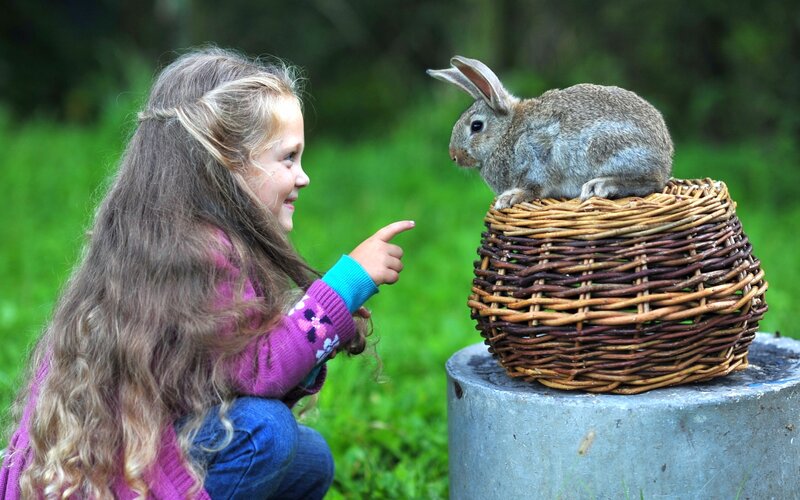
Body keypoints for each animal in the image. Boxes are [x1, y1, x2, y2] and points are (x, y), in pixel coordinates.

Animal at [427, 56, 674, 209]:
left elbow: (534, 188)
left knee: (651, 182)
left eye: (476, 126)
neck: (507, 133)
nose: (454, 155)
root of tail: (666, 158)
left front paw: (509, 198)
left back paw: (600, 186)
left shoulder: (535, 156)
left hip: (607, 147)